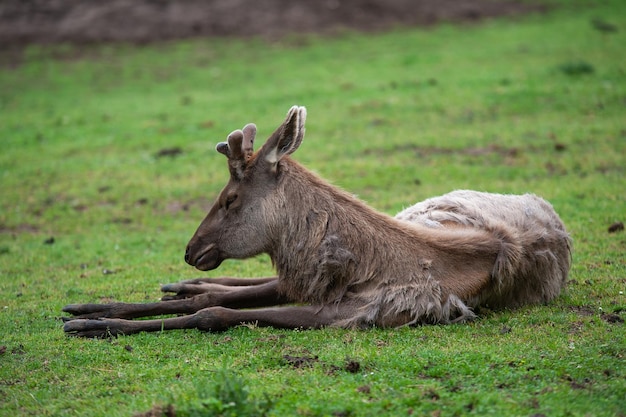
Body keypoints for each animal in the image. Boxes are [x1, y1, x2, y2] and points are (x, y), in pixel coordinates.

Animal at [63, 105, 572, 336]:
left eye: (229, 199)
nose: (190, 250)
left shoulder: (356, 312)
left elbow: (215, 312)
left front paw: (95, 324)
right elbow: (217, 300)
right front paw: (91, 310)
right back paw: (177, 285)